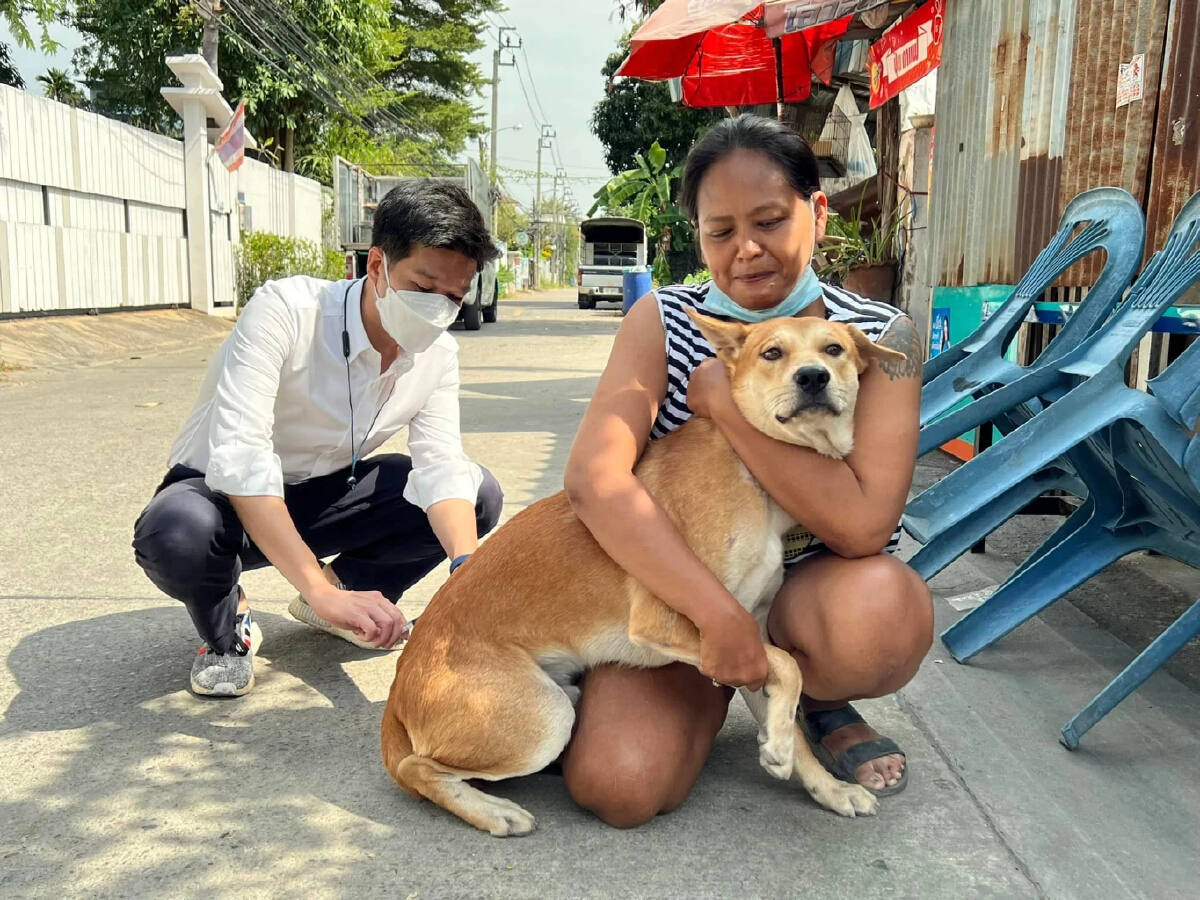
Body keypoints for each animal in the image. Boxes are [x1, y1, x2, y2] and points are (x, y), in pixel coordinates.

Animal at [379, 312, 902, 840]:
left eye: (834, 349)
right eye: (772, 353)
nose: (814, 377)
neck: (751, 471)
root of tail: (398, 691)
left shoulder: (748, 639)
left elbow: (792, 715)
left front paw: (822, 782)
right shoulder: (683, 626)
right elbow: (791, 666)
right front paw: (780, 748)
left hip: (562, 695)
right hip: (545, 717)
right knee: (415, 769)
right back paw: (492, 811)